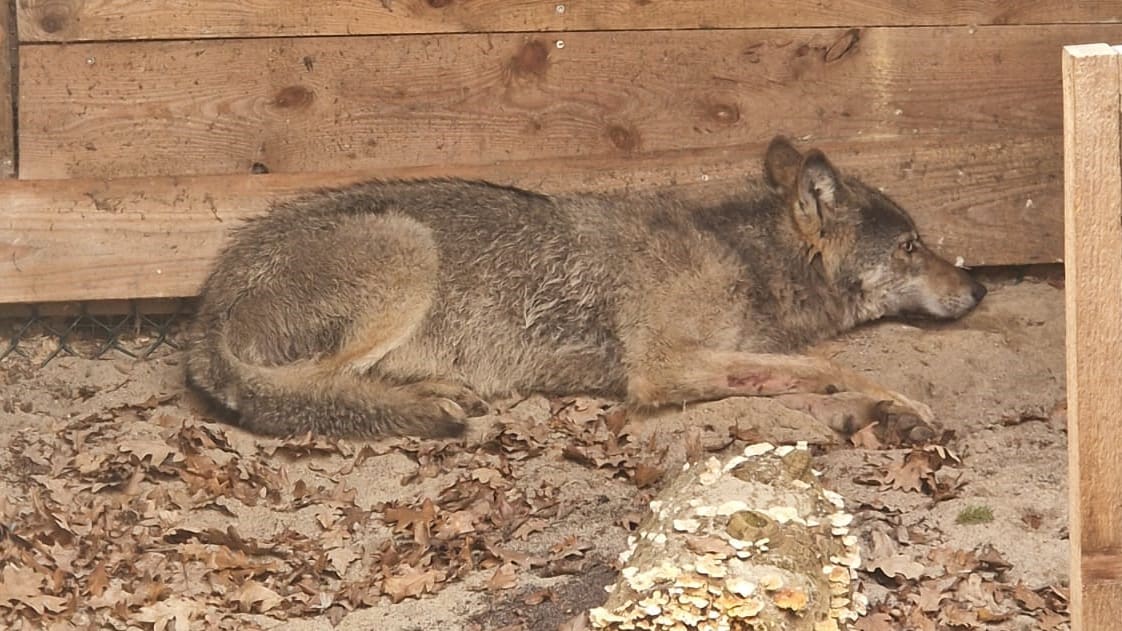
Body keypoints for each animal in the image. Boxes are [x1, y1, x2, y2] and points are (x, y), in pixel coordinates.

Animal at [185, 137, 986, 441]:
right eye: (912, 246)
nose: (979, 287)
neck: (743, 256)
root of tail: (205, 309)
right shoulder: (660, 367)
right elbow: (829, 365)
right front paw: (897, 404)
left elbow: (796, 375)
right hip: (408, 250)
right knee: (305, 390)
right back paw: (427, 402)